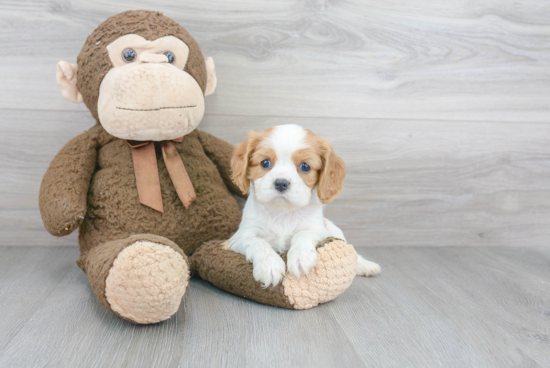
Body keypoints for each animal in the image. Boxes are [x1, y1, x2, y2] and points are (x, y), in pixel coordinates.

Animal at [226, 125, 382, 288]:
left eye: (305, 166)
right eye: (265, 163)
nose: (281, 183)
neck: (283, 212)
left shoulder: (319, 230)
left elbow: (303, 233)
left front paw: (301, 257)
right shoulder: (239, 237)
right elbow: (258, 242)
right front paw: (269, 265)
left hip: (334, 229)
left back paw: (366, 266)